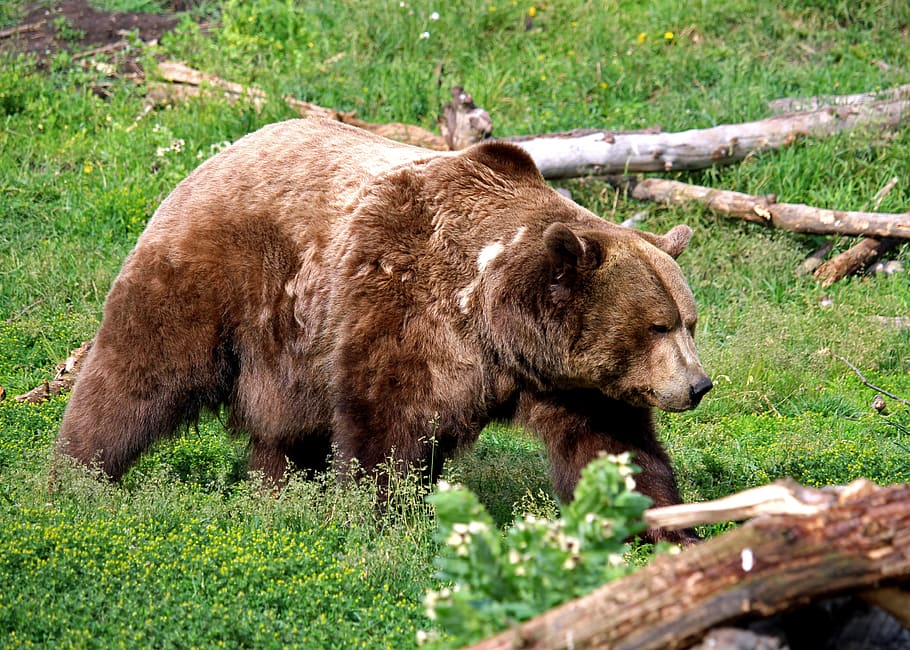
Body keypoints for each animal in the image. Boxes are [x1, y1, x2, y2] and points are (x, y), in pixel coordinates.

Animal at [55, 117, 712, 540]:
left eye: (689, 322)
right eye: (657, 325)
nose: (699, 386)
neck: (497, 323)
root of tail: (209, 158)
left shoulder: (572, 382)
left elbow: (612, 446)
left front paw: (662, 527)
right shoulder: (405, 302)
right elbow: (390, 423)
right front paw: (382, 521)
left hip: (290, 349)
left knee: (285, 433)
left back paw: (276, 495)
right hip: (217, 276)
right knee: (137, 375)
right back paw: (76, 475)